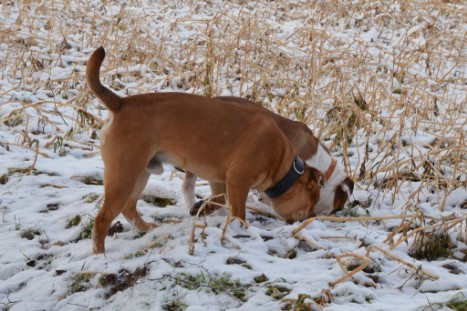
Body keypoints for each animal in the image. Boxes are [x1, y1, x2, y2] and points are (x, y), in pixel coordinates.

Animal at [87, 47, 326, 255]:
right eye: (314, 198)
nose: (313, 215)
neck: (281, 163)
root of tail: (120, 103)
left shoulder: (221, 180)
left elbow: (218, 200)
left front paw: (201, 207)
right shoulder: (238, 180)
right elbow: (239, 212)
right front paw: (241, 230)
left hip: (140, 173)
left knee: (129, 208)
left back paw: (148, 229)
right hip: (124, 175)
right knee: (102, 219)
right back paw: (100, 255)